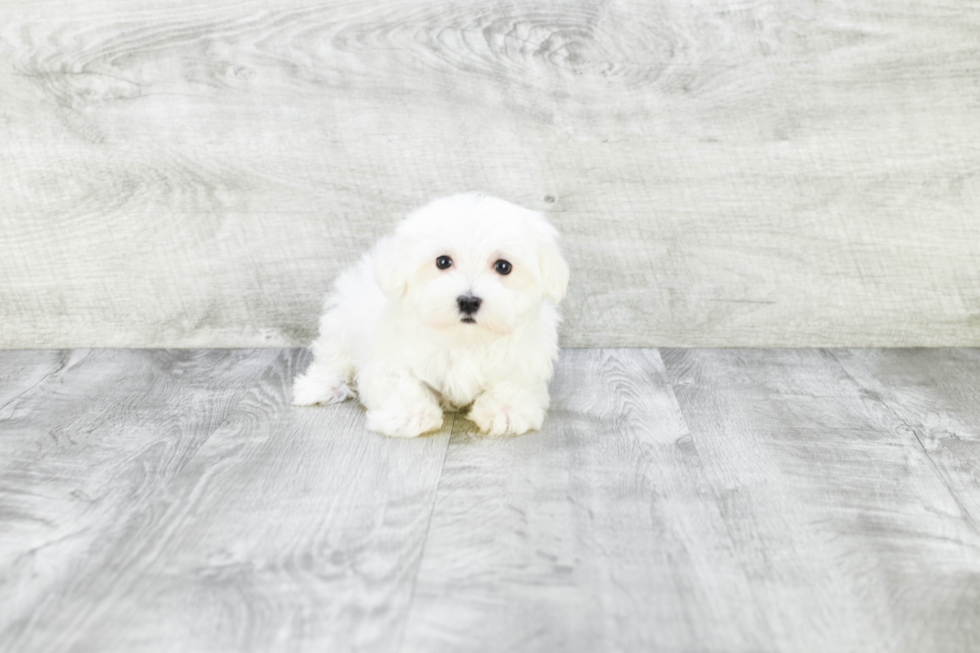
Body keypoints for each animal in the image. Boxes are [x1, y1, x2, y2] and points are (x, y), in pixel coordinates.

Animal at [290, 194, 568, 438]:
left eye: (503, 266)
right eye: (443, 262)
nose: (468, 301)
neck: (464, 339)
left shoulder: (525, 358)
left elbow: (513, 381)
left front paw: (506, 410)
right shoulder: (389, 356)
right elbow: (401, 382)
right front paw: (409, 415)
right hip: (341, 322)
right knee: (333, 358)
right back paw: (321, 386)